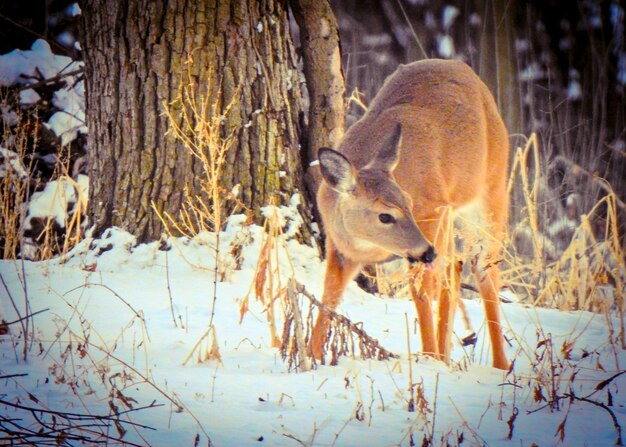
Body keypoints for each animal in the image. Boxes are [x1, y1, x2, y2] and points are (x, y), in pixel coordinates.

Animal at [308, 58, 508, 372]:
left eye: (409, 203)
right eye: (385, 216)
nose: (427, 252)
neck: (371, 248)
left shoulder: (431, 211)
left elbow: (421, 292)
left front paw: (429, 358)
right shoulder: (340, 248)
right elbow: (329, 295)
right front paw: (310, 356)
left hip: (490, 190)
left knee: (483, 267)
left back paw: (499, 364)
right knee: (454, 267)